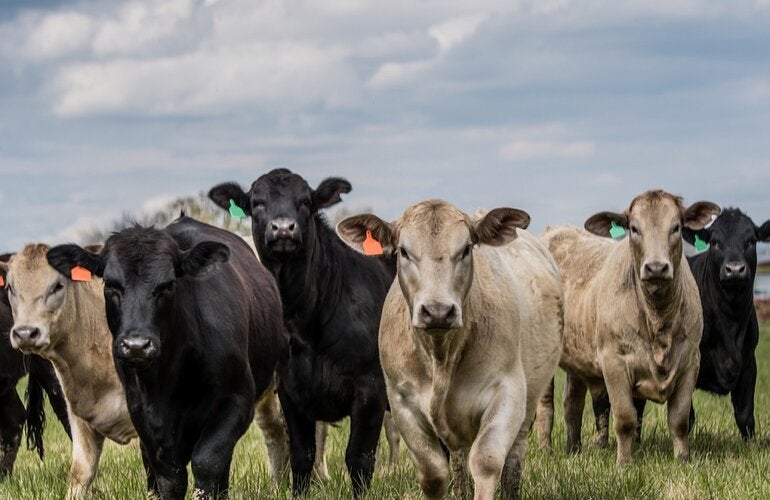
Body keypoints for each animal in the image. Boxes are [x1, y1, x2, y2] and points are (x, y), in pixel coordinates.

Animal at [47, 216, 290, 500]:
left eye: (168, 285)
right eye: (110, 284)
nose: (137, 346)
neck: (173, 375)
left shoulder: (237, 401)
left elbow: (208, 462)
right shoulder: (145, 416)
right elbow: (170, 477)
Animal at [208, 169, 395, 497]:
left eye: (305, 201)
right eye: (257, 203)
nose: (283, 228)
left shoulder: (370, 387)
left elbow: (359, 457)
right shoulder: (291, 391)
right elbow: (301, 455)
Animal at [336, 200, 563, 500]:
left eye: (466, 248)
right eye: (403, 251)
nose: (438, 312)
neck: (441, 357)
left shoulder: (507, 392)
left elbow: (486, 461)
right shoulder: (402, 402)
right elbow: (433, 474)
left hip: (528, 402)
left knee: (513, 457)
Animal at [536, 190, 719, 465]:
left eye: (676, 227)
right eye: (634, 228)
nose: (656, 267)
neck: (658, 320)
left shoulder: (690, 362)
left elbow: (679, 420)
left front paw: (683, 459)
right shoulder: (614, 362)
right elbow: (625, 419)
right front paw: (624, 463)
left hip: (578, 359)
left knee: (572, 404)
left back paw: (574, 449)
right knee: (546, 406)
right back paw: (546, 449)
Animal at [633, 208, 770, 439]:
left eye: (751, 240)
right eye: (715, 242)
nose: (734, 269)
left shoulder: (748, 361)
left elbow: (745, 415)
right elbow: (685, 416)